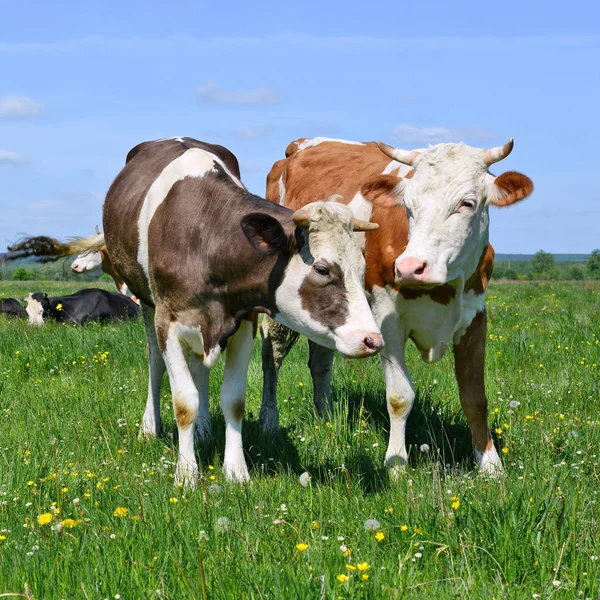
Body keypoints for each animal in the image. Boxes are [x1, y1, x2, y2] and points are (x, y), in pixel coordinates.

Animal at [68, 137, 380, 488]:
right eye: (323, 269)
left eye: (362, 268)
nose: (372, 340)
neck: (204, 235)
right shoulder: (168, 321)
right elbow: (184, 401)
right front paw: (186, 473)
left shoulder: (244, 320)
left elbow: (233, 399)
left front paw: (236, 472)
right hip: (147, 305)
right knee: (155, 363)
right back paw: (150, 428)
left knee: (200, 370)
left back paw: (203, 430)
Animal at [260, 137, 532, 478]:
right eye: (408, 206)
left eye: (467, 203)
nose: (410, 267)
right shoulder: (386, 319)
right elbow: (400, 396)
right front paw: (397, 464)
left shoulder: (475, 317)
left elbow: (474, 397)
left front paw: (491, 465)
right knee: (273, 356)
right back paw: (269, 421)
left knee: (320, 360)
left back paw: (327, 417)